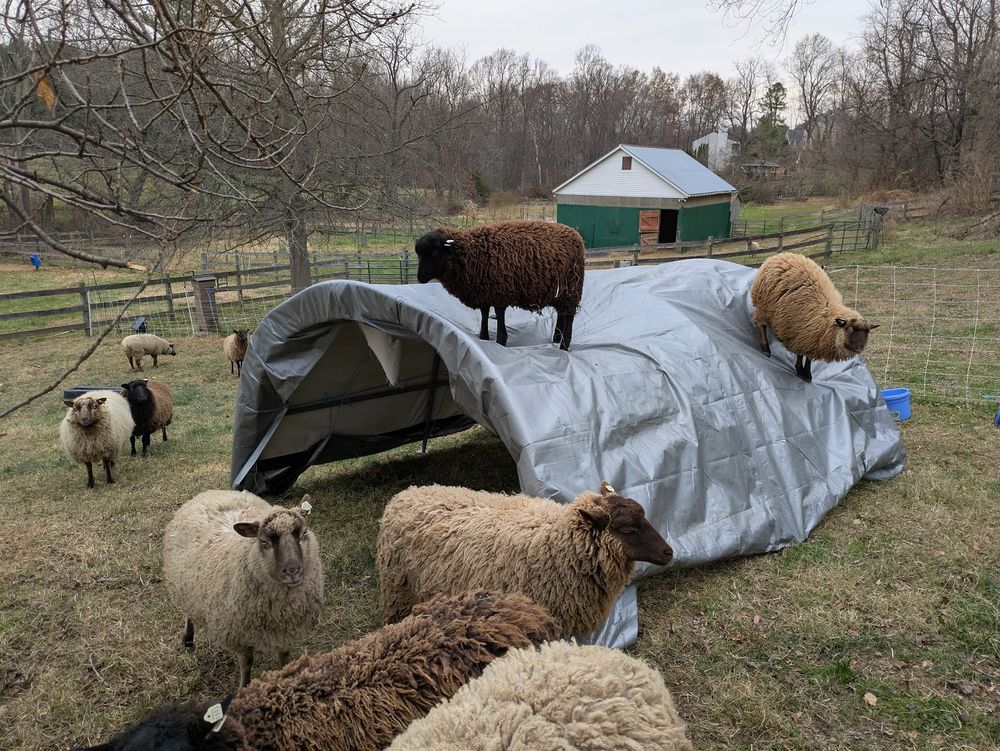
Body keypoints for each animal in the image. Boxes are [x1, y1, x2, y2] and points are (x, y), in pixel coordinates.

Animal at [163, 490, 323, 688]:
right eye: (264, 542)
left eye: (304, 533)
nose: (293, 571)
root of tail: (208, 492)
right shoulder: (238, 634)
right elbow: (246, 663)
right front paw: (244, 688)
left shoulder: (285, 629)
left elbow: (284, 656)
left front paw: (287, 676)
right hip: (184, 588)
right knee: (188, 615)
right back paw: (187, 640)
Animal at [414, 220, 586, 350]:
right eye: (419, 254)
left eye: (434, 253)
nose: (419, 277)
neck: (472, 253)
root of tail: (576, 235)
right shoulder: (484, 292)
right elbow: (484, 313)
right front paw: (483, 336)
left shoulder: (500, 292)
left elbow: (499, 317)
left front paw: (500, 341)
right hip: (560, 292)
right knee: (562, 313)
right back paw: (556, 337)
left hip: (572, 287)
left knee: (569, 316)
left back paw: (564, 346)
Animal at [751, 251, 879, 382]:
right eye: (850, 329)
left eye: (867, 332)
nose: (859, 347)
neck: (827, 316)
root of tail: (780, 255)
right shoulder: (800, 335)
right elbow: (800, 355)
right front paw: (800, 371)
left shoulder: (813, 339)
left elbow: (809, 358)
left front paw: (807, 374)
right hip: (763, 306)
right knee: (761, 324)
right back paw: (766, 349)